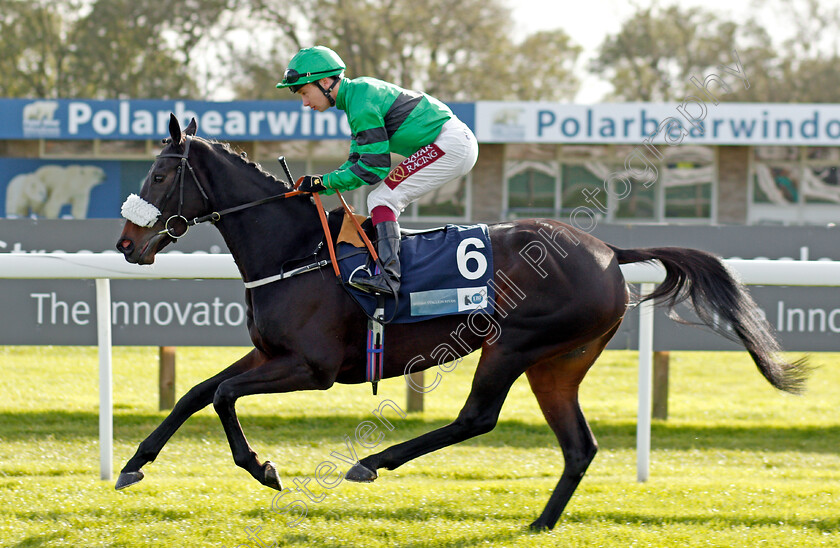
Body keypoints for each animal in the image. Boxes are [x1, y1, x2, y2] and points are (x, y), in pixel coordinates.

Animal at [113, 115, 808, 532]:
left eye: (159, 172)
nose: (125, 244)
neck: (296, 250)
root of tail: (610, 250)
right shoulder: (270, 355)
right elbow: (199, 392)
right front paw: (134, 464)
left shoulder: (310, 368)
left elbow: (224, 395)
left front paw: (263, 467)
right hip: (560, 363)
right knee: (578, 446)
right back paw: (541, 524)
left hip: (515, 344)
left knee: (478, 418)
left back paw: (373, 461)